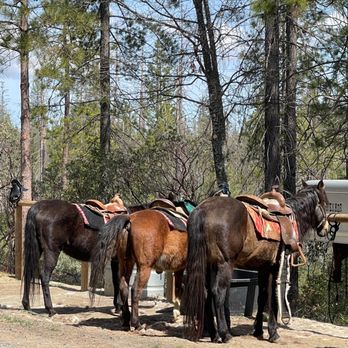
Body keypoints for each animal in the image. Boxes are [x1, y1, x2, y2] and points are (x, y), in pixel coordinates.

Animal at [185, 181, 328, 344]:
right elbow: (272, 299)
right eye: (325, 203)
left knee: (206, 293)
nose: (326, 228)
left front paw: (259, 330)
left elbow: (261, 297)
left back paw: (215, 335)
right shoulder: (274, 267)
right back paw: (225, 334)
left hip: (209, 264)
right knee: (218, 293)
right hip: (224, 265)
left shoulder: (262, 268)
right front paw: (273, 332)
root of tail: (202, 210)